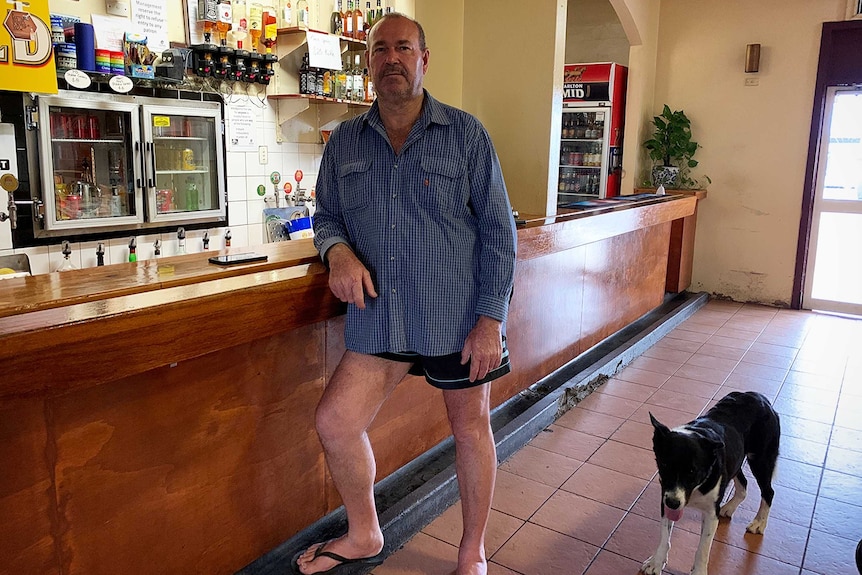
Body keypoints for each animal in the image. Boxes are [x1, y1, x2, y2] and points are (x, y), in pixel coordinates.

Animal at [640, 392, 784, 575]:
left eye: (692, 471)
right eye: (664, 465)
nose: (673, 503)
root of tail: (760, 397)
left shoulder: (709, 513)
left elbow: (703, 548)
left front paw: (698, 571)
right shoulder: (666, 496)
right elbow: (664, 535)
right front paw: (656, 562)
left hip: (761, 459)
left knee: (768, 491)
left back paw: (759, 523)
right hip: (735, 461)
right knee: (743, 484)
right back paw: (729, 507)